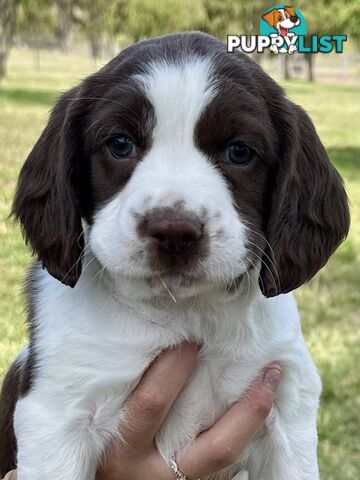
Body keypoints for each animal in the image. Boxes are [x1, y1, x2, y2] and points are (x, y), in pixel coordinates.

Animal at [0, 31, 348, 480]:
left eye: (240, 152)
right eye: (120, 144)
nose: (174, 232)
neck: (184, 312)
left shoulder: (288, 403)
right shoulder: (55, 415)